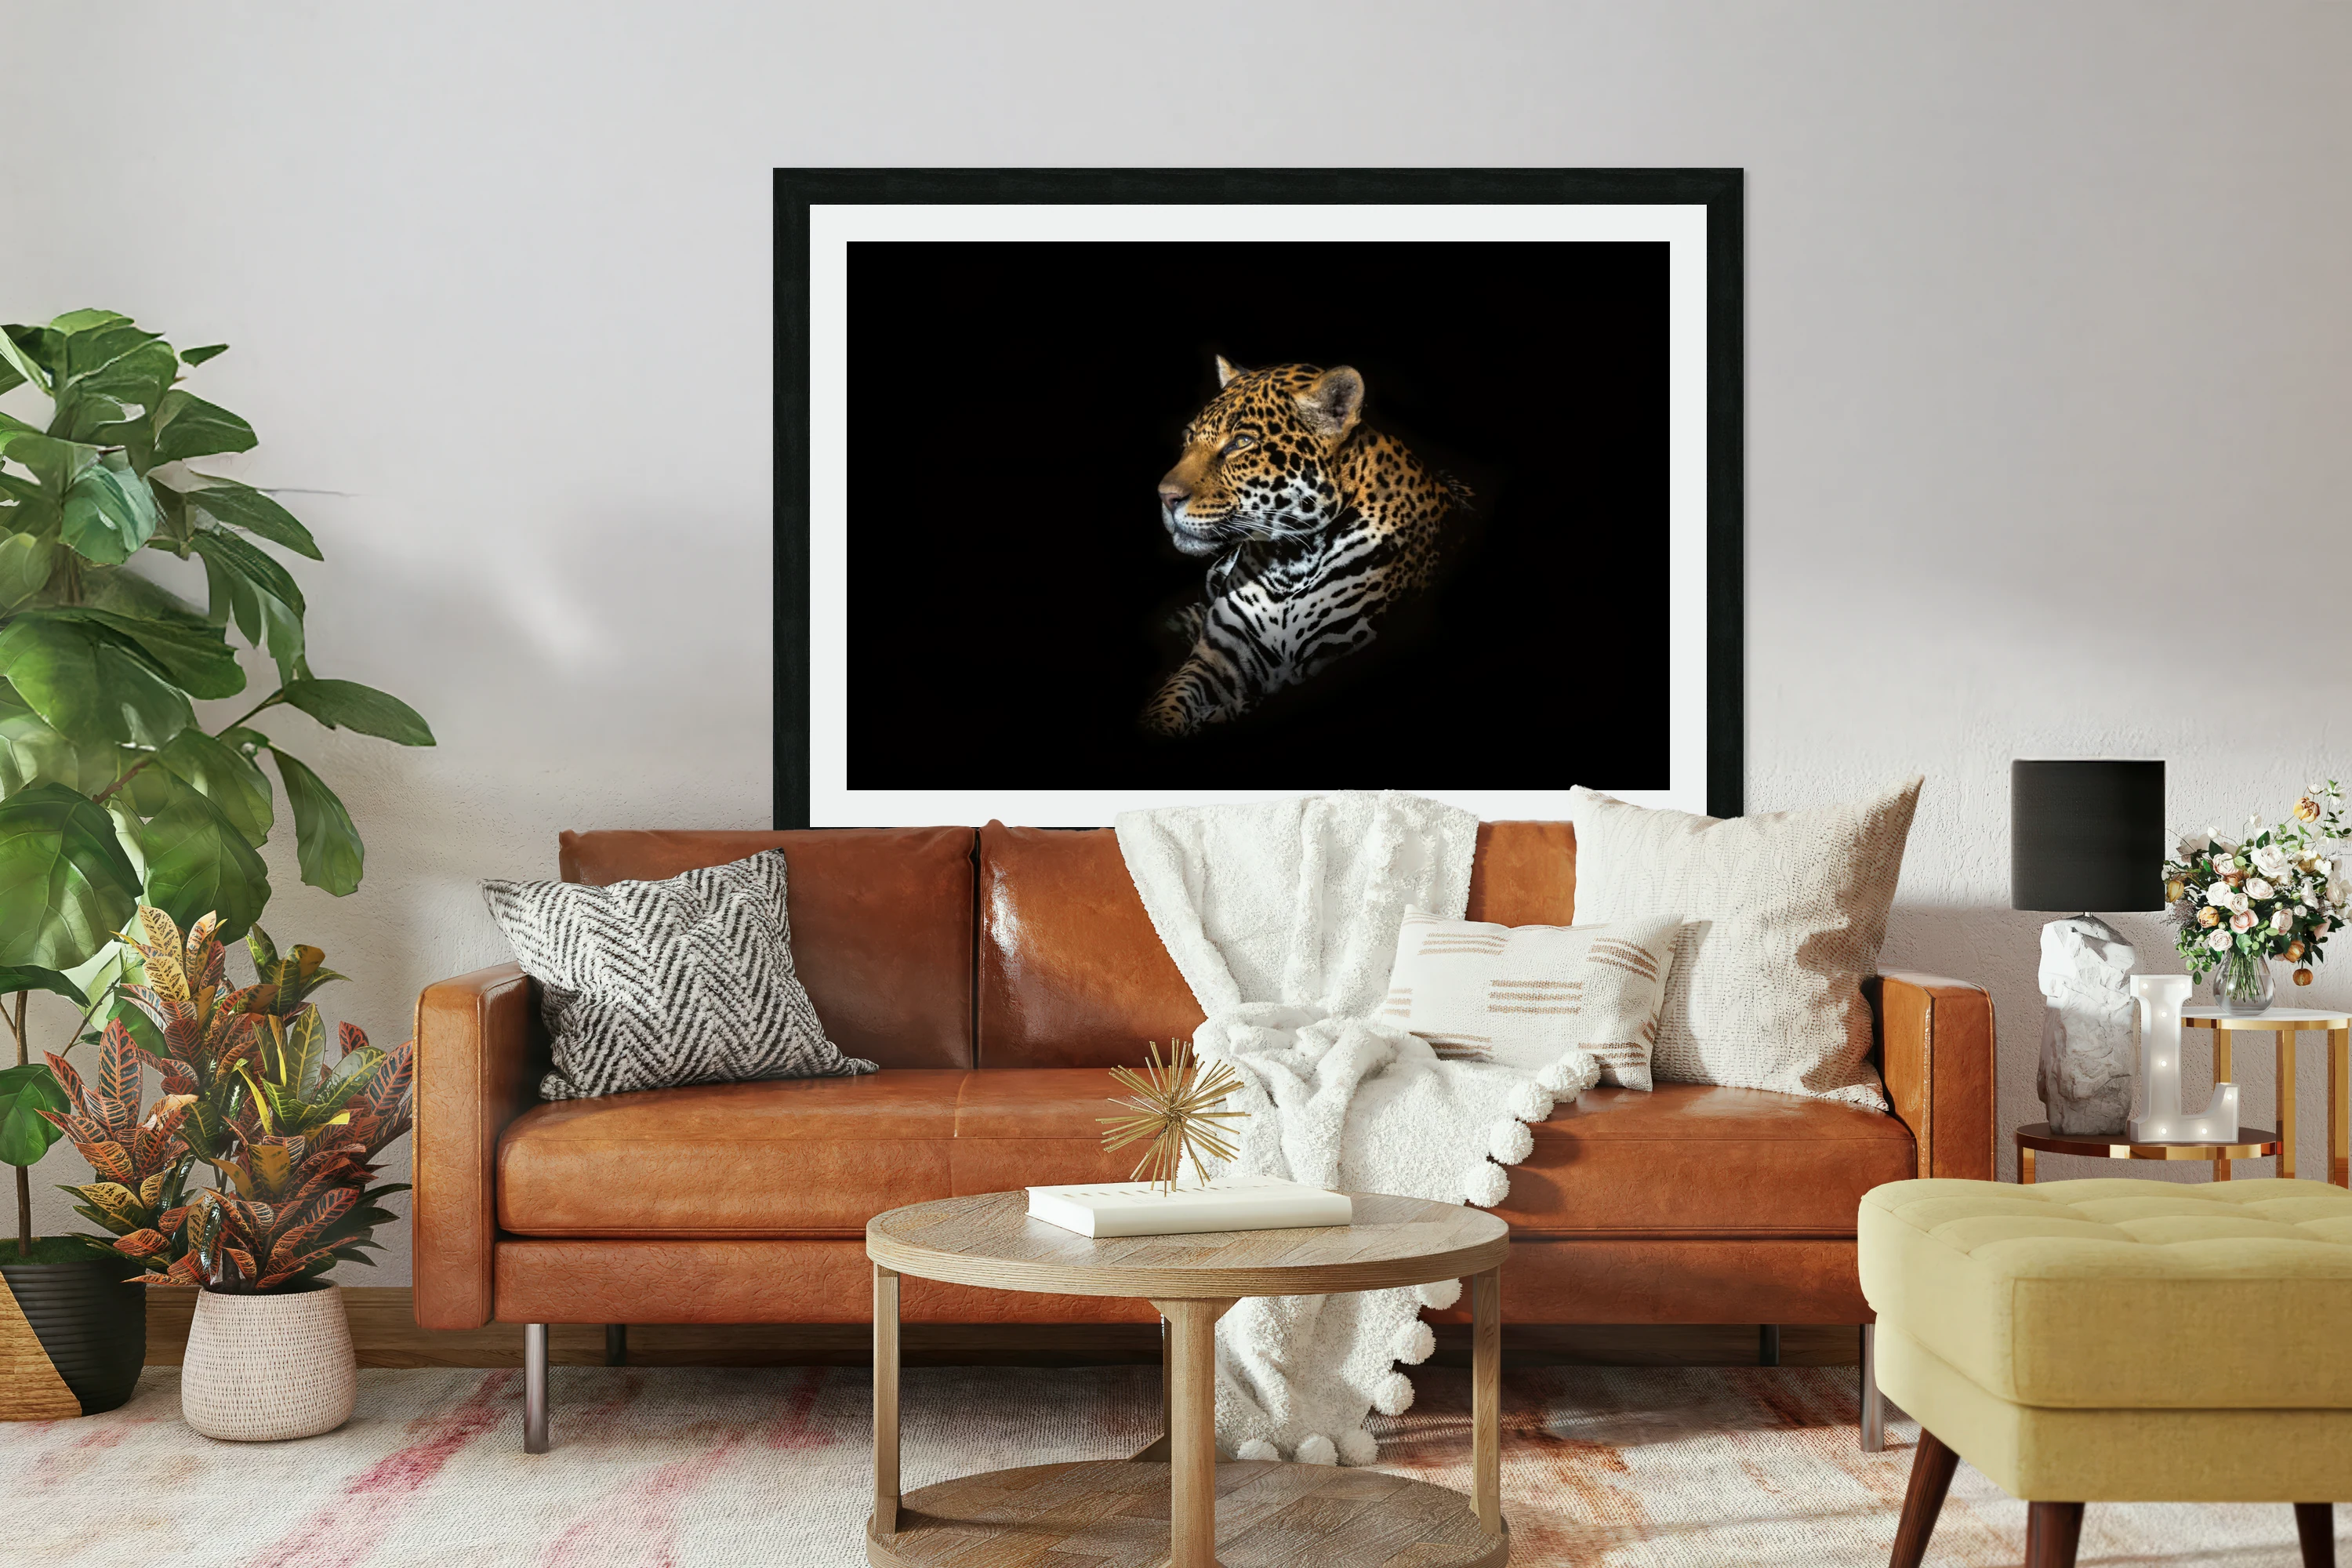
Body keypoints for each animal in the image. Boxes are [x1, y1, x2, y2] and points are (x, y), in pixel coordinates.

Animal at [1143, 356, 1470, 737]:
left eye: (1241, 442)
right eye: (1189, 437)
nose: (1165, 497)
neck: (1288, 565)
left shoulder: (1333, 656)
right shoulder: (1217, 653)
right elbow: (1170, 698)